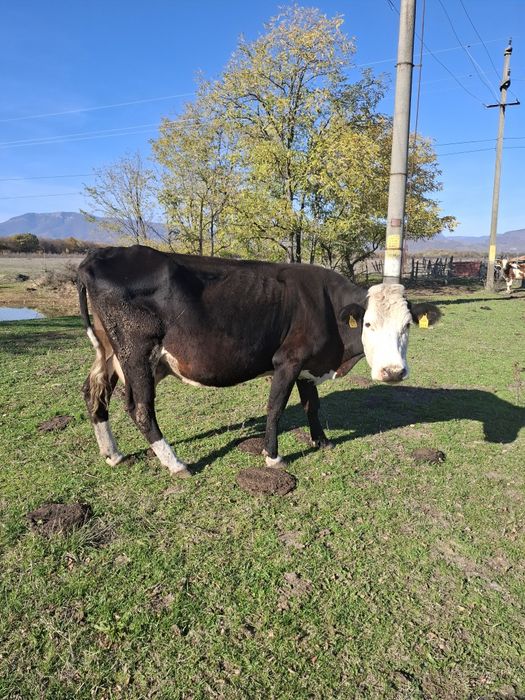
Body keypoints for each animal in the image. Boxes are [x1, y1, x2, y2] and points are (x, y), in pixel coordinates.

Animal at [77, 245, 440, 477]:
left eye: (407, 325)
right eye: (368, 324)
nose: (392, 372)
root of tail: (100, 254)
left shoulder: (308, 366)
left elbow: (312, 405)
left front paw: (321, 441)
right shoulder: (288, 361)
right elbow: (275, 407)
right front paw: (273, 457)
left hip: (111, 353)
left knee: (94, 392)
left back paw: (112, 454)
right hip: (137, 353)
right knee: (140, 408)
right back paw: (176, 464)